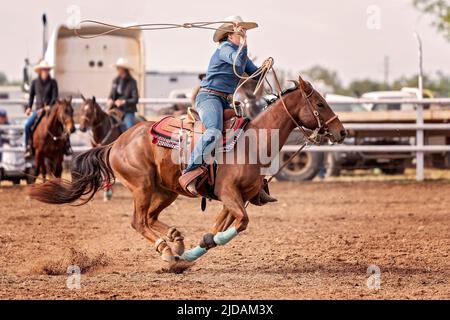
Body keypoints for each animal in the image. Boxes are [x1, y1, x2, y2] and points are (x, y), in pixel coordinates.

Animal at [29, 77, 344, 270]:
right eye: (319, 103)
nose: (341, 131)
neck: (251, 143)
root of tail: (116, 143)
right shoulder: (228, 193)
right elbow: (242, 222)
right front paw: (191, 251)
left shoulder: (233, 198)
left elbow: (218, 228)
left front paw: (193, 251)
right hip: (142, 186)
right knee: (138, 221)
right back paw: (167, 250)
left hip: (166, 191)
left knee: (150, 218)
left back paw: (176, 240)